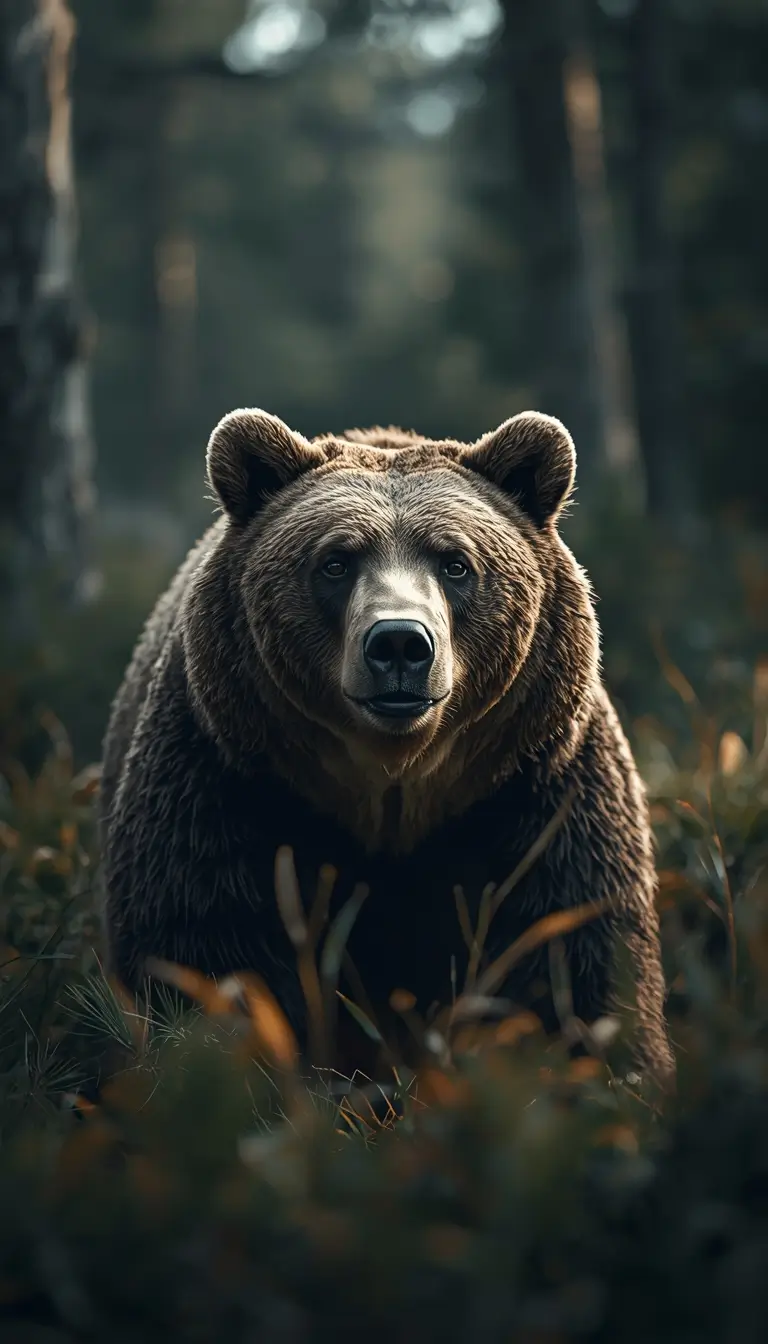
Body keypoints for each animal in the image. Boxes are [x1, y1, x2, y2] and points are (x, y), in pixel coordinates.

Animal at [99, 407, 675, 1088]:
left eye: (456, 562)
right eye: (335, 562)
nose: (400, 642)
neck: (392, 791)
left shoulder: (538, 795)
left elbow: (575, 963)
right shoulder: (225, 783)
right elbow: (203, 954)